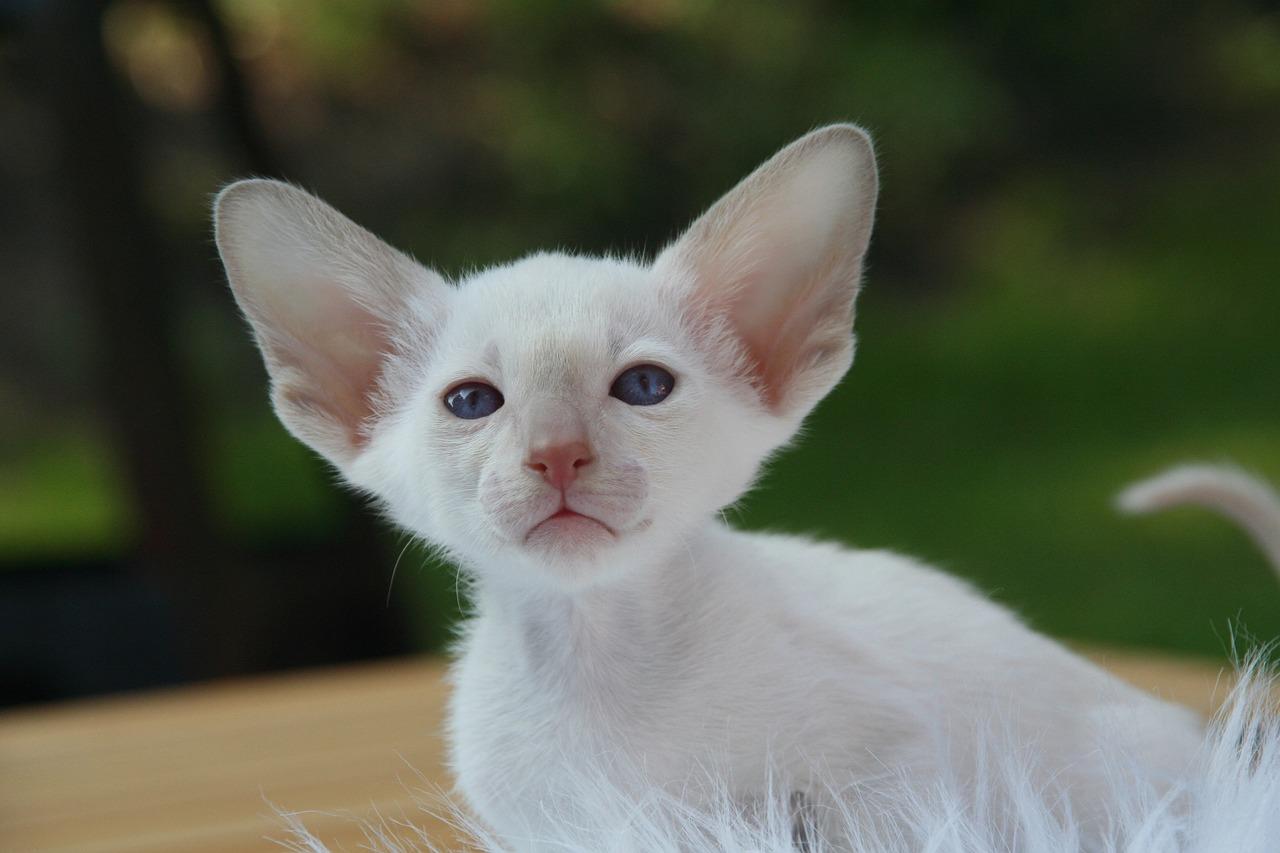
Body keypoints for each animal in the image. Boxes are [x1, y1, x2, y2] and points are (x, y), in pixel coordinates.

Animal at [212, 124, 1280, 845]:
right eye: (472, 401)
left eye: (643, 386)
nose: (557, 453)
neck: (602, 662)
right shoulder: (551, 827)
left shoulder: (892, 768)